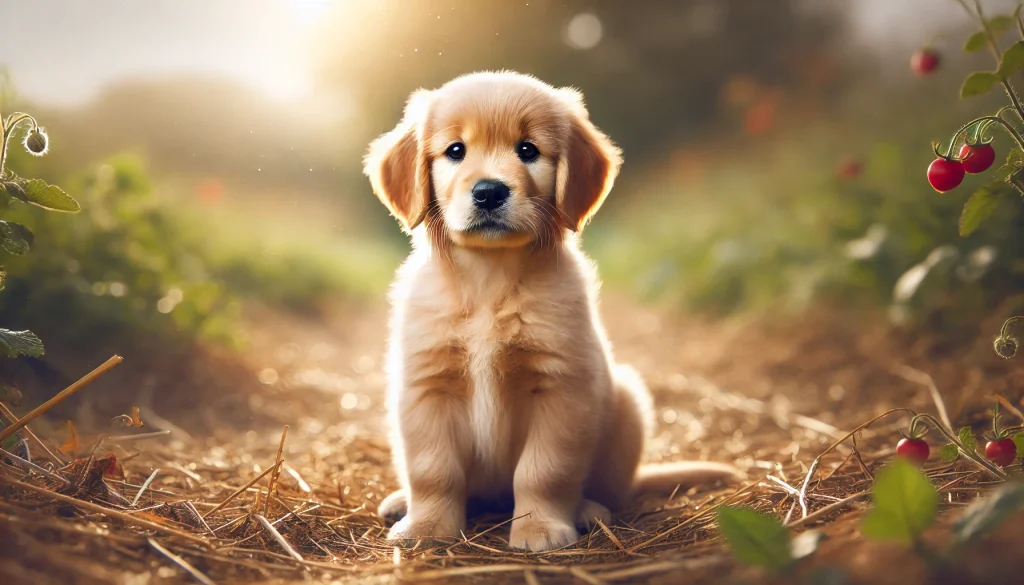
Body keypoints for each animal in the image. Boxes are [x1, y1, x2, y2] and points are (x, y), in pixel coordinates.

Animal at [364, 71, 741, 553]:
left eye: (528, 150)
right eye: (455, 151)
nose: (489, 191)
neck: (490, 280)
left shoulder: (562, 388)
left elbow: (544, 470)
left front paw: (540, 528)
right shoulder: (426, 385)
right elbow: (434, 470)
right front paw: (427, 527)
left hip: (627, 402)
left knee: (609, 490)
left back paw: (587, 510)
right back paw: (400, 502)